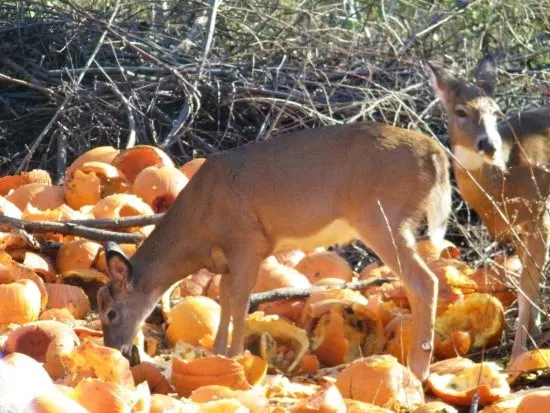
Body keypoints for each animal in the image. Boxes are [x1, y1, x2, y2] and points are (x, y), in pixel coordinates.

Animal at [98, 120, 452, 380]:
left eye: (111, 312)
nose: (115, 349)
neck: (198, 224)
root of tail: (435, 153)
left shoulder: (248, 242)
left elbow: (240, 301)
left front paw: (234, 358)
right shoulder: (228, 260)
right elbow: (224, 298)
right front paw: (217, 353)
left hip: (382, 218)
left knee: (424, 281)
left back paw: (418, 371)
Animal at [430, 55, 550, 360]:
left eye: (496, 112)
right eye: (461, 111)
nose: (489, 145)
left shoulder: (541, 214)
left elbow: (526, 286)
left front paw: (517, 355)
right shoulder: (521, 228)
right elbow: (526, 285)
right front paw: (533, 335)